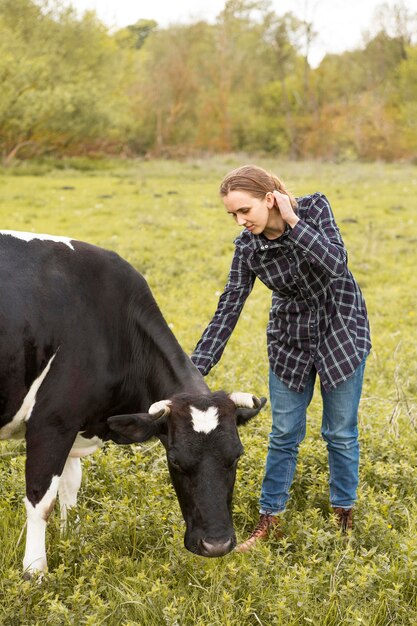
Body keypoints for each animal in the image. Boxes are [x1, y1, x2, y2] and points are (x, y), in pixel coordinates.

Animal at [0, 229, 264, 576]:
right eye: (175, 461)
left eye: (236, 456)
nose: (217, 545)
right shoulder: (51, 423)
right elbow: (41, 500)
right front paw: (35, 572)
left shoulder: (74, 423)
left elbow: (70, 488)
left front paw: (72, 541)